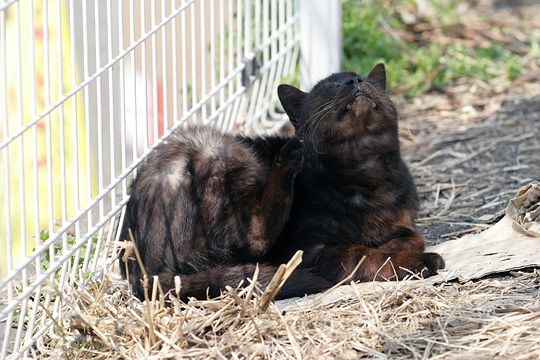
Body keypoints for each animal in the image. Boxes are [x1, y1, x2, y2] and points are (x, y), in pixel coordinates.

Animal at [120, 63, 446, 300]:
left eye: (364, 80)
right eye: (330, 87)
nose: (354, 82)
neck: (365, 174)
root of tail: (140, 268)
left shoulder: (401, 225)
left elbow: (409, 237)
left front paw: (407, 249)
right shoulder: (312, 248)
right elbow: (360, 255)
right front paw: (420, 262)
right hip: (219, 148)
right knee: (255, 234)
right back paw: (288, 157)